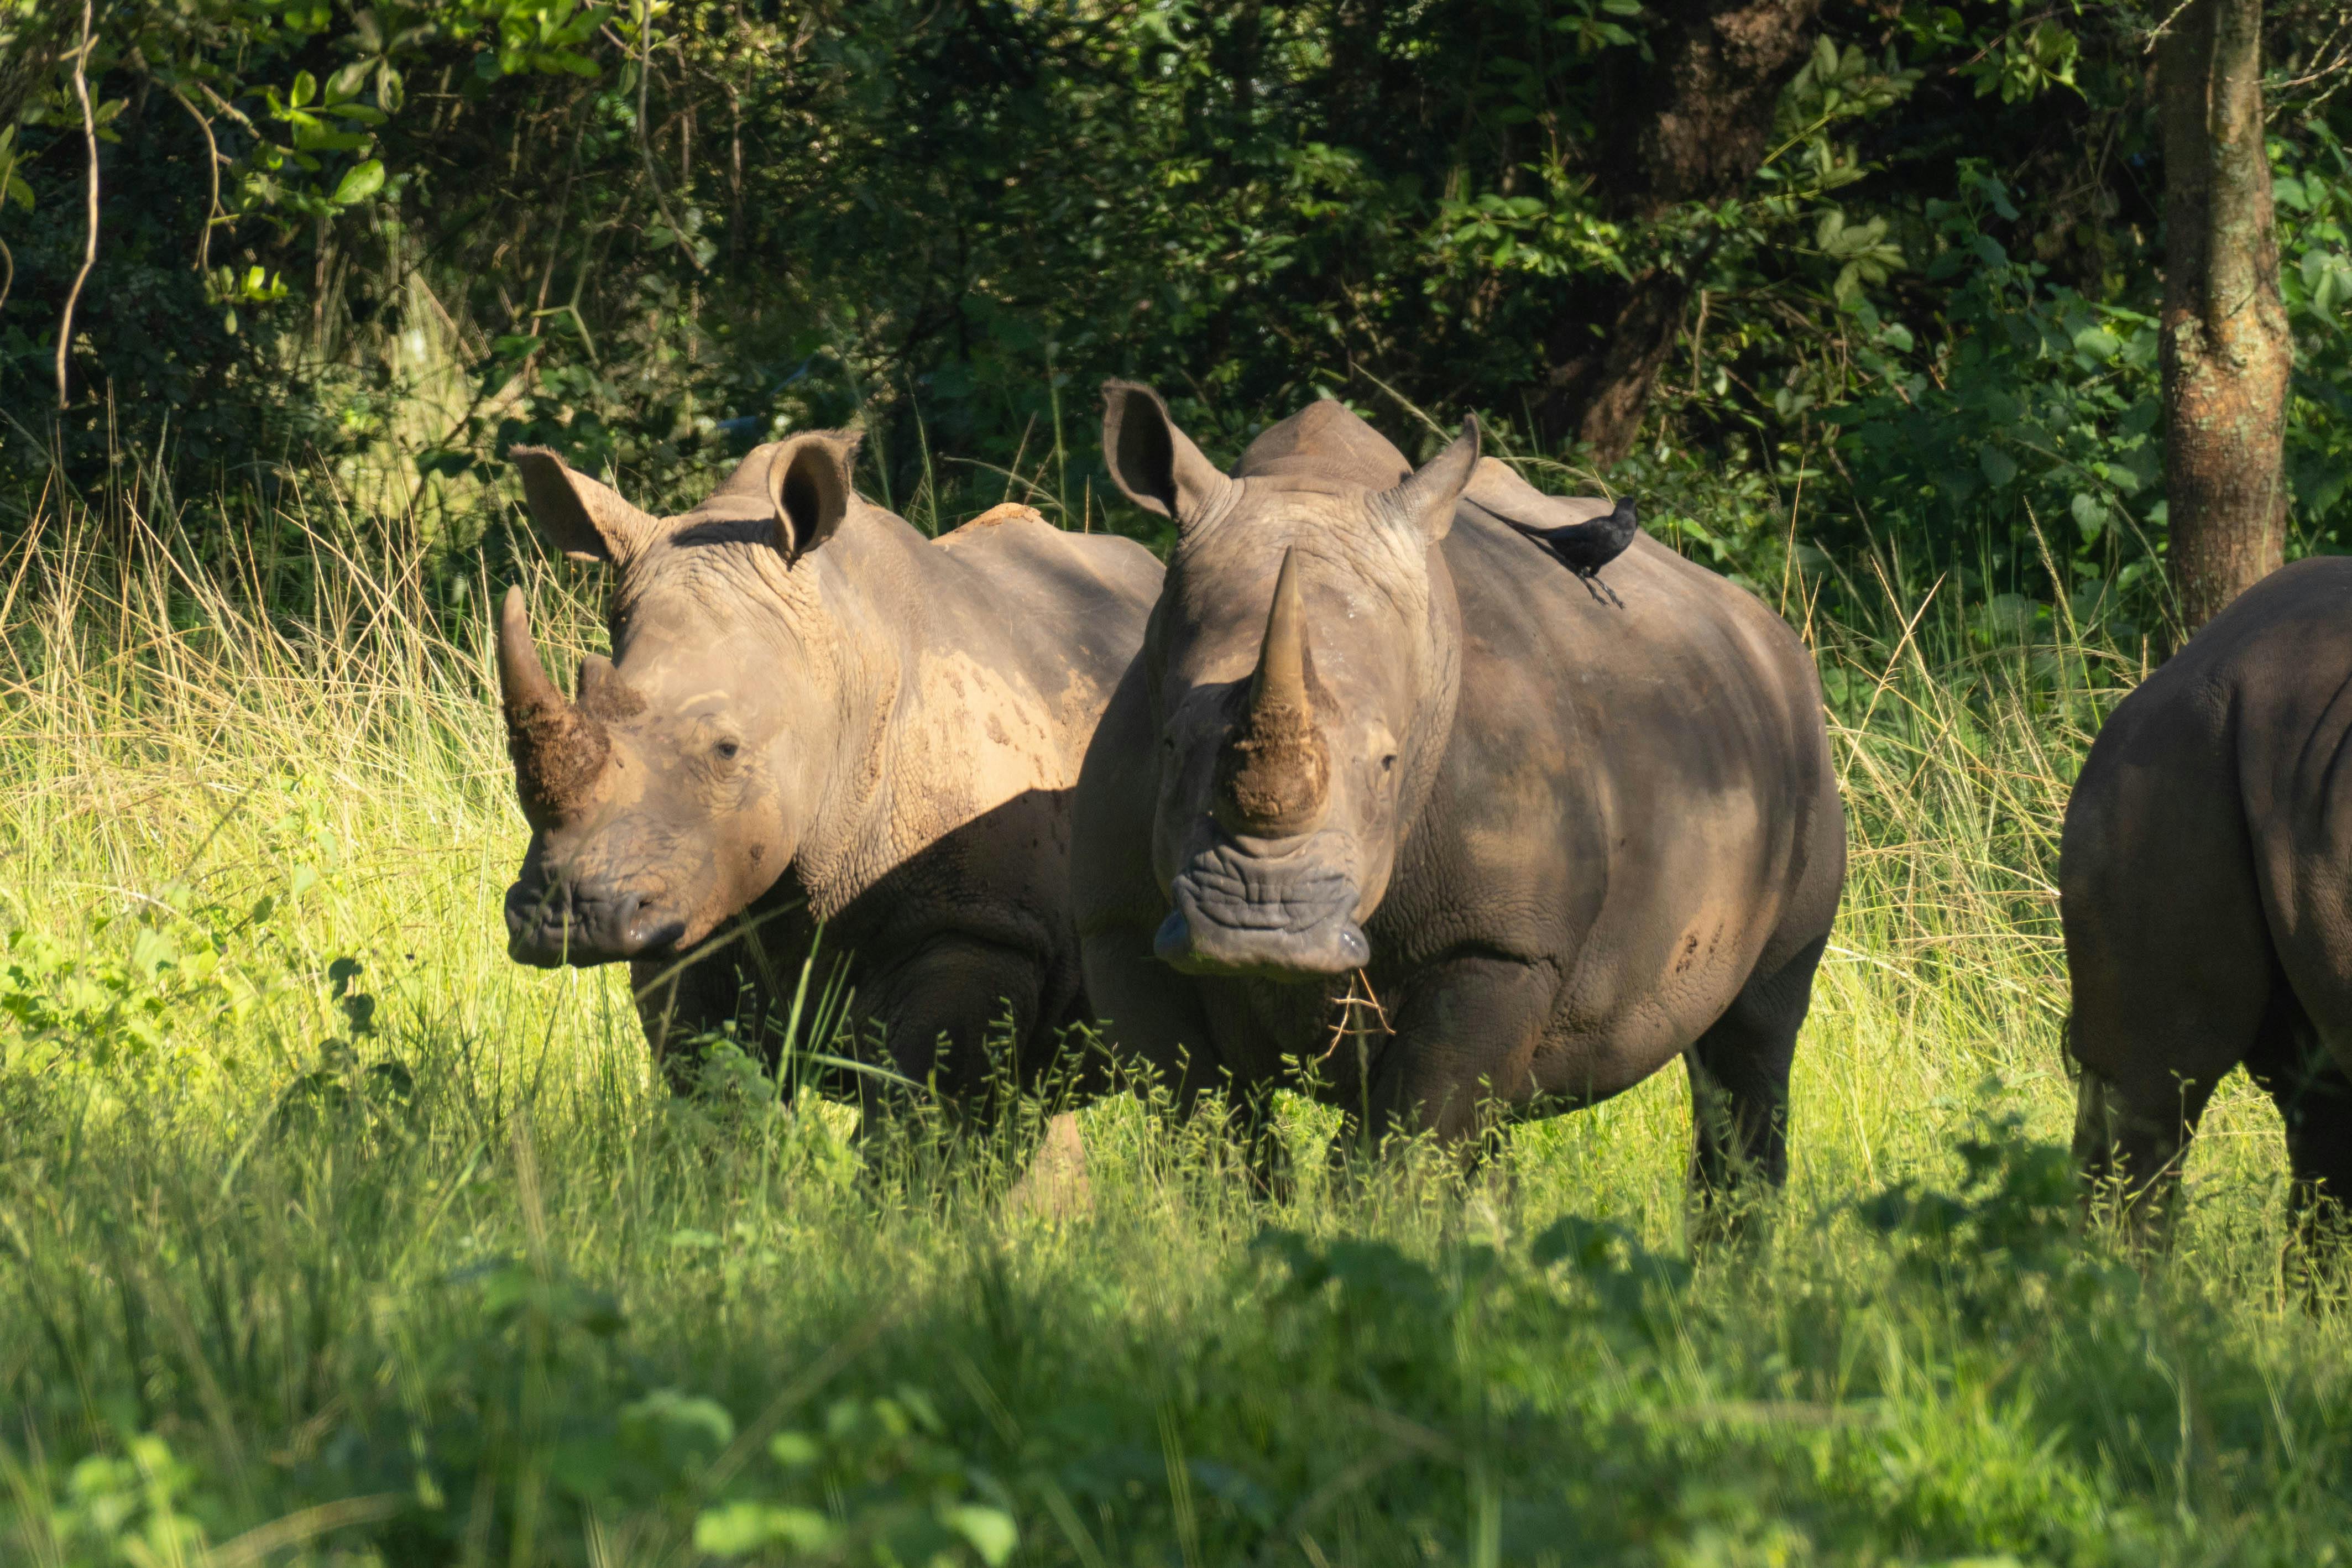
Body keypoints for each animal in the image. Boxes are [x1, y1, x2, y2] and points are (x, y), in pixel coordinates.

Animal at [495, 432, 1161, 1131]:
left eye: (728, 749)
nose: (564, 919)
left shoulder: (973, 927)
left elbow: (912, 1114)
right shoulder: (687, 912)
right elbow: (716, 1103)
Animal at [1070, 385, 1845, 1194]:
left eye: (1389, 762)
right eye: (1168, 745)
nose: (1261, 924)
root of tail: (1771, 633)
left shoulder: (1504, 941)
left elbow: (1405, 1138)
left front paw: (1369, 1223)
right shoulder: (1119, 927)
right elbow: (1204, 1134)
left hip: (1800, 757)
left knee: (1753, 1038)